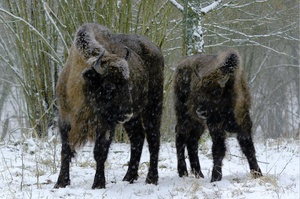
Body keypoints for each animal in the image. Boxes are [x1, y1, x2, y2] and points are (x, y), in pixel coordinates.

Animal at [54, 22, 164, 188]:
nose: (127, 113)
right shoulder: (64, 118)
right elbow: (65, 150)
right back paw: (129, 177)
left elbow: (100, 151)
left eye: (128, 84)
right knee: (137, 138)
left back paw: (152, 178)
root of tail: (156, 49)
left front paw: (98, 184)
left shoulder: (106, 123)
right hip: (133, 120)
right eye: (109, 86)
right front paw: (61, 182)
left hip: (152, 107)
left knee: (153, 138)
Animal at [173, 48, 262, 182]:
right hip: (184, 116)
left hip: (198, 123)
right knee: (180, 137)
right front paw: (215, 177)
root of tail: (180, 65)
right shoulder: (215, 125)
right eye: (199, 89)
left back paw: (199, 174)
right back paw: (183, 172)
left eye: (216, 92)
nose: (200, 111)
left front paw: (257, 174)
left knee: (192, 141)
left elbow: (249, 148)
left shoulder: (244, 123)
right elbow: (218, 149)